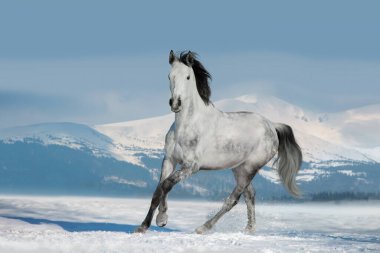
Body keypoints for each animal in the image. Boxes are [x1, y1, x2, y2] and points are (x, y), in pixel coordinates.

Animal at [135, 50, 302, 234]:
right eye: (169, 76)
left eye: (188, 77)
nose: (176, 103)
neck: (186, 126)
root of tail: (272, 125)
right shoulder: (169, 160)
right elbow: (158, 190)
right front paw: (144, 226)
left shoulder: (191, 166)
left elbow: (166, 185)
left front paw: (161, 219)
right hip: (239, 168)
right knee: (250, 195)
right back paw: (248, 230)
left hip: (249, 168)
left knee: (233, 199)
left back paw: (203, 227)